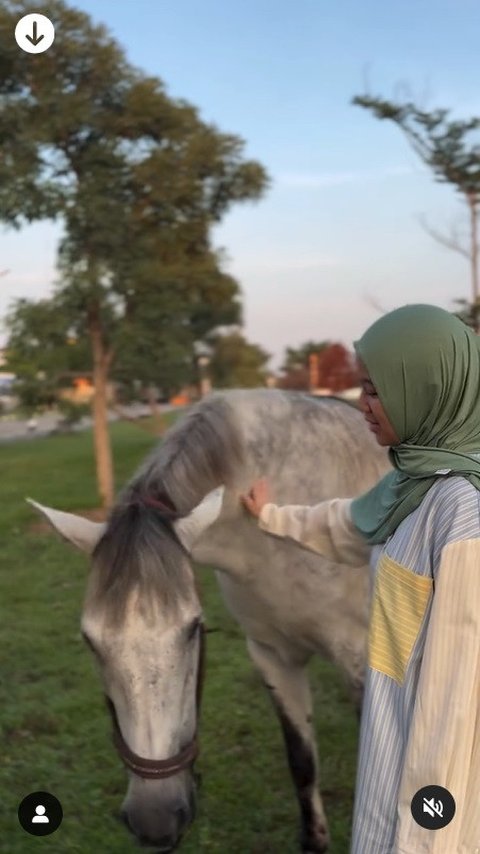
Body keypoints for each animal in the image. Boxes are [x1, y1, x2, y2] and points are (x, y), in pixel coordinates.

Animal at [29, 392, 390, 852]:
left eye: (191, 629)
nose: (155, 818)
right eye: (90, 641)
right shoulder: (272, 656)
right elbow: (302, 763)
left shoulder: (359, 661)